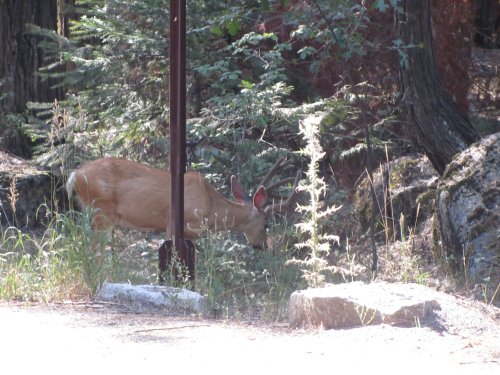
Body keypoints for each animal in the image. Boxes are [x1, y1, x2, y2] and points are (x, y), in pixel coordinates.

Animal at [66, 157, 300, 251]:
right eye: (266, 225)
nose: (263, 246)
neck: (211, 208)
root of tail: (75, 175)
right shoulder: (176, 223)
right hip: (103, 211)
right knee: (94, 248)